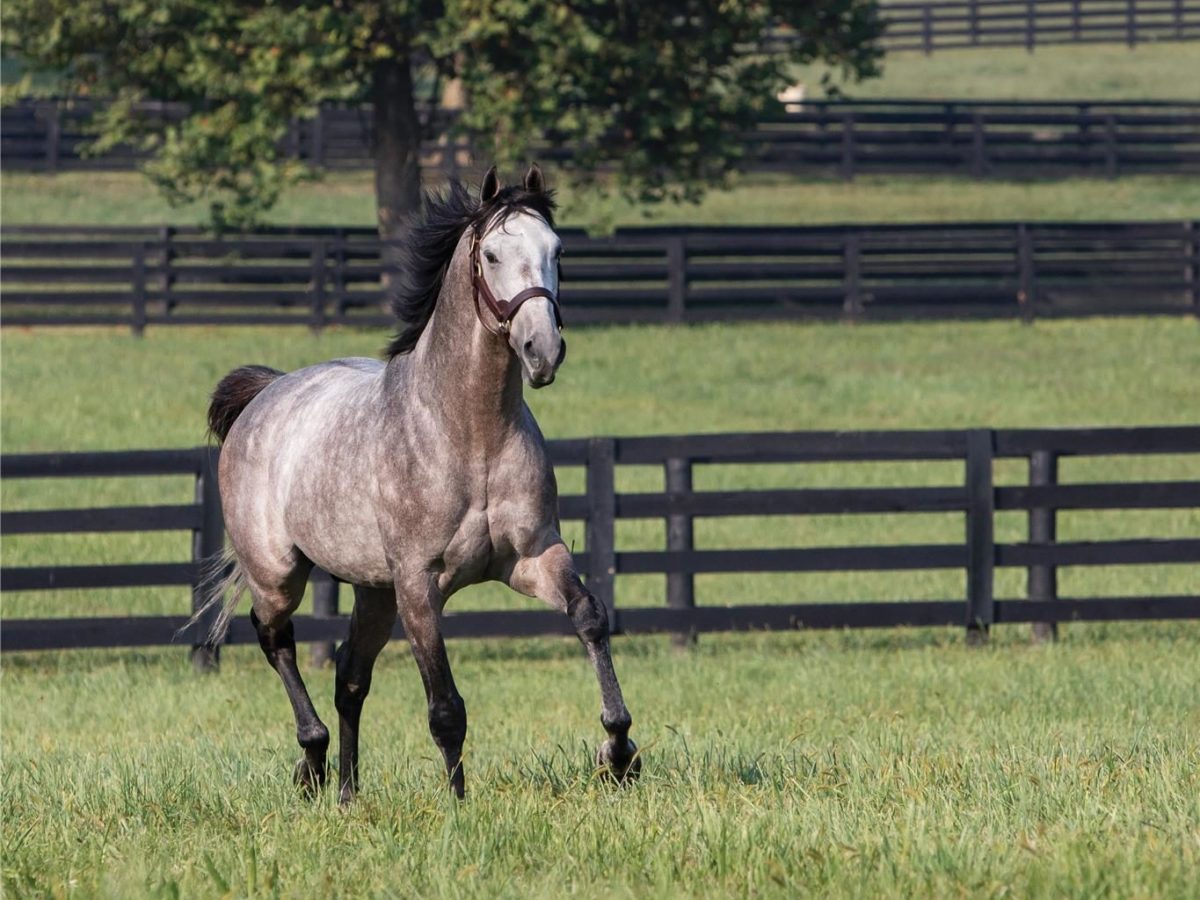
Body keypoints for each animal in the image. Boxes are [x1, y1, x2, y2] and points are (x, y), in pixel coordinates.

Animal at [199, 164, 638, 801]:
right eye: (493, 255)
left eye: (557, 250)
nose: (543, 351)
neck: (470, 434)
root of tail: (266, 392)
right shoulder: (418, 585)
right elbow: (445, 707)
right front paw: (458, 803)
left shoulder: (532, 558)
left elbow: (589, 617)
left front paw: (619, 752)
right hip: (280, 574)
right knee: (275, 638)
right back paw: (312, 762)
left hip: (373, 591)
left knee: (350, 675)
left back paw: (348, 792)